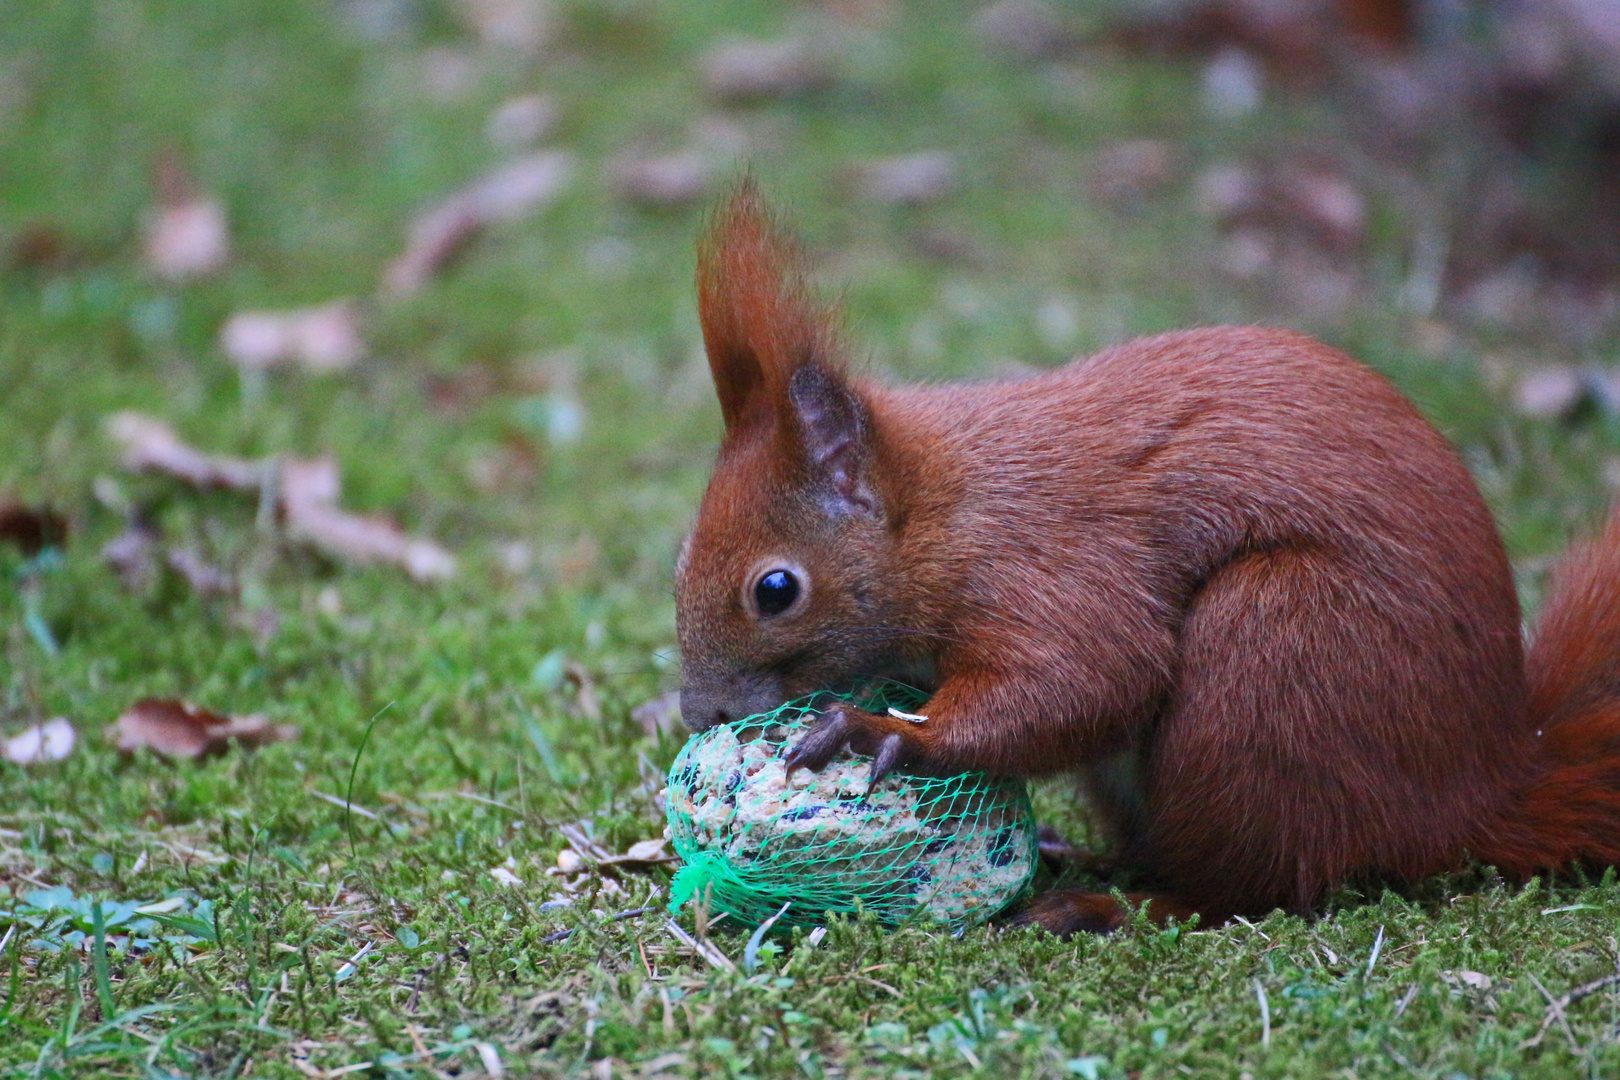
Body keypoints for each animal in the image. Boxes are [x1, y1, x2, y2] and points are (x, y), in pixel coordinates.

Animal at [667, 181, 1620, 932]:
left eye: (776, 589)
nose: (701, 712)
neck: (942, 515)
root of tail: (1476, 793)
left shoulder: (1050, 567)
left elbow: (1086, 678)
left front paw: (881, 732)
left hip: (1275, 658)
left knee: (1255, 889)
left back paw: (1111, 906)